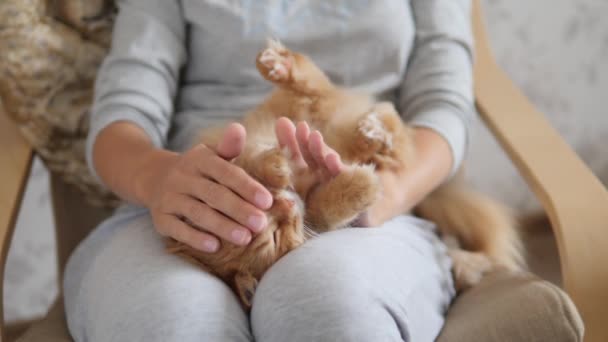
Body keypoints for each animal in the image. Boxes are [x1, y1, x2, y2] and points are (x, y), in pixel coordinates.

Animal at [165, 40, 524, 310]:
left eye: (272, 229)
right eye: (275, 238)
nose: (285, 205)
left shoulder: (237, 148)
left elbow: (255, 160)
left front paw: (276, 168)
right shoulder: (314, 211)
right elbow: (327, 206)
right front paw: (359, 185)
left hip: (309, 105)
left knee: (319, 88)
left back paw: (281, 66)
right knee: (388, 143)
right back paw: (372, 135)